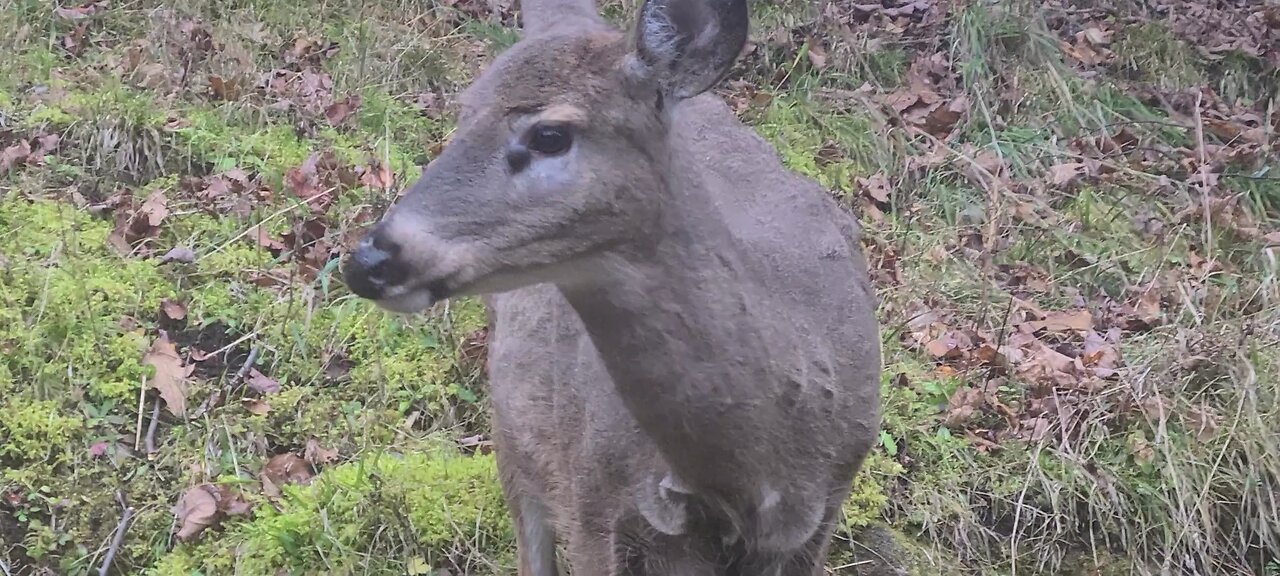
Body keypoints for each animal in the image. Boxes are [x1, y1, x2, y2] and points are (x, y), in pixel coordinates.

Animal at [337, 0, 880, 570]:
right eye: (461, 120)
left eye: (549, 134)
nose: (369, 260)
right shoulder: (593, 503)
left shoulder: (826, 506)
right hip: (516, 424)